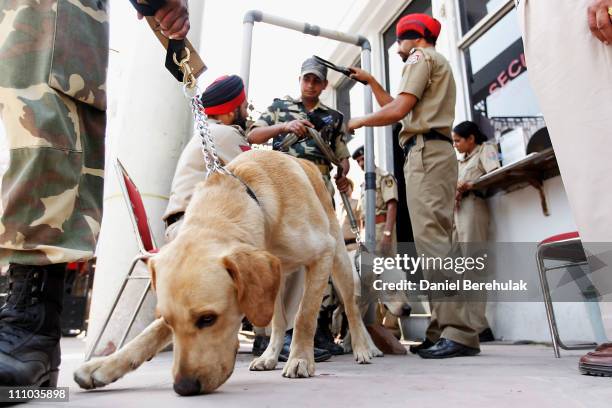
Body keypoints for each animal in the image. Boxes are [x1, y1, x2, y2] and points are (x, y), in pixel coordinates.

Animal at [74, 150, 380, 396]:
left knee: (351, 309)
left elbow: (305, 315)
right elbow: (147, 335)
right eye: (169, 322)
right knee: (279, 321)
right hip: (275, 280)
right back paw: (270, 355)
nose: (183, 387)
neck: (252, 203)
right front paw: (102, 366)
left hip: (339, 260)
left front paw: (301, 359)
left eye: (208, 319)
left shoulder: (321, 255)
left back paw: (363, 348)